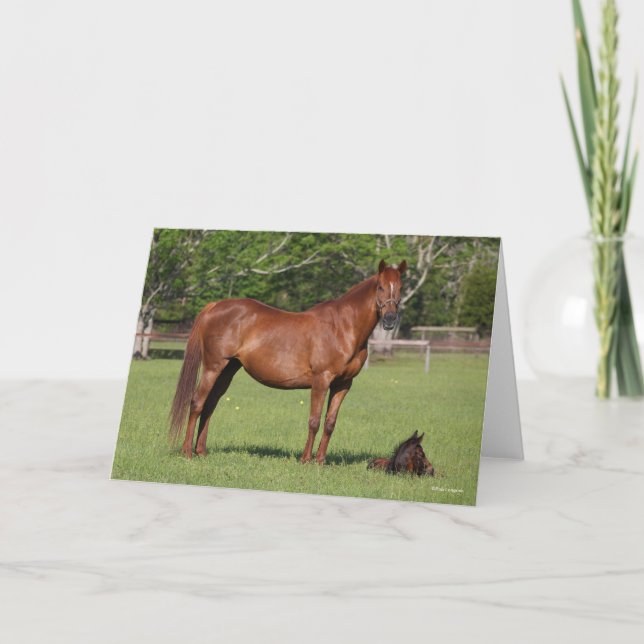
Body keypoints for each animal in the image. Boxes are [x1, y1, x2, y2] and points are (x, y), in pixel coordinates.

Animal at [169, 259, 407, 464]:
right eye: (380, 287)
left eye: (400, 288)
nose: (389, 320)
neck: (342, 327)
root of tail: (215, 305)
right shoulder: (321, 380)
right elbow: (314, 421)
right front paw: (305, 460)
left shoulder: (343, 384)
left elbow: (330, 423)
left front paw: (320, 461)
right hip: (213, 367)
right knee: (197, 403)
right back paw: (187, 452)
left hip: (228, 369)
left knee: (210, 405)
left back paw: (201, 451)